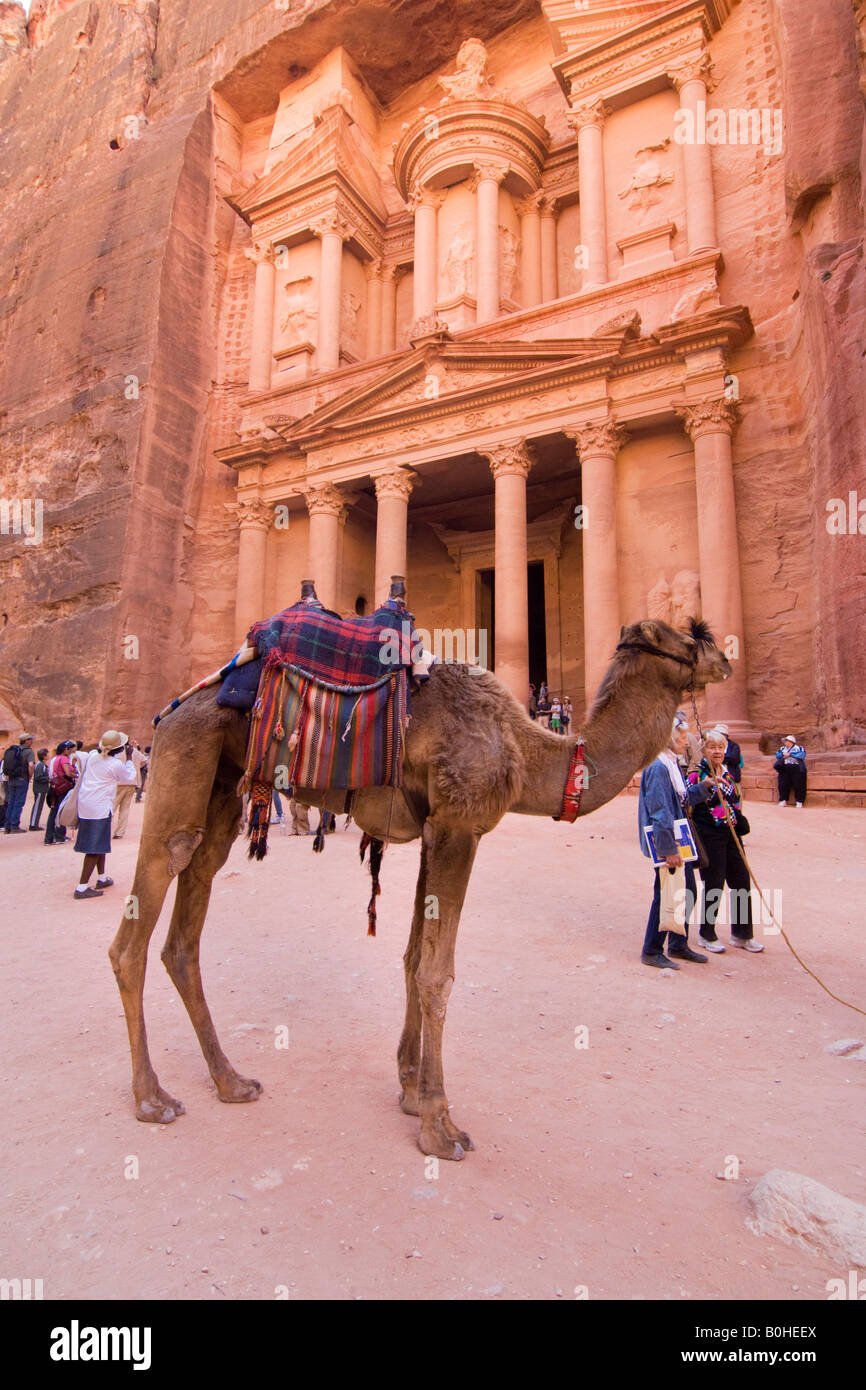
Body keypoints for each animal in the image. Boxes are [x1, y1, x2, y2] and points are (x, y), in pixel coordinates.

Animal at [108, 619, 733, 1162]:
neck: (526, 751)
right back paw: (152, 1098)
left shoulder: (436, 829)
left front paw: (409, 1092)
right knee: (137, 926)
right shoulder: (460, 825)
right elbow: (438, 973)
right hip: (183, 759)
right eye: (690, 637)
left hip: (223, 785)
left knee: (187, 920)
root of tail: (171, 710)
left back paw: (231, 1081)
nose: (725, 656)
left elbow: (412, 959)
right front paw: (441, 1126)